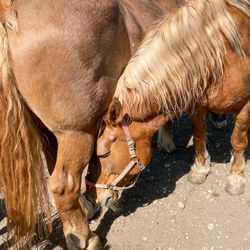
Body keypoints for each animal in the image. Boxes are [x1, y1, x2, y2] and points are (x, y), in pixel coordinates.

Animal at [85, 0, 248, 217]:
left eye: (103, 154)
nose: (93, 197)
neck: (223, 56)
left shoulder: (245, 106)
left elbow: (238, 141)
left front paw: (236, 178)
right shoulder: (196, 103)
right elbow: (199, 133)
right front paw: (199, 168)